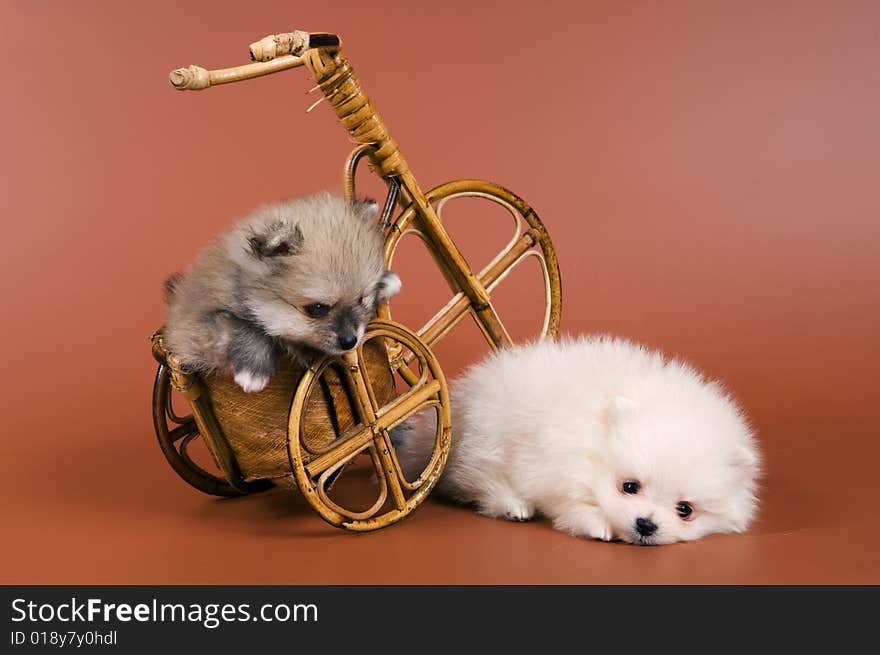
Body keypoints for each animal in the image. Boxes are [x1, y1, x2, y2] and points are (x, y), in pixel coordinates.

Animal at [163, 192, 400, 392]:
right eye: (317, 309)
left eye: (362, 300)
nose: (350, 341)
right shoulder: (194, 329)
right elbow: (242, 326)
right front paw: (253, 371)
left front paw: (386, 281)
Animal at [396, 336, 760, 544]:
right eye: (630, 487)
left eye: (685, 510)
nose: (645, 524)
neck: (592, 441)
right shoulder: (553, 466)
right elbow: (571, 505)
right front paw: (596, 524)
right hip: (489, 439)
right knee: (482, 478)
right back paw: (514, 506)